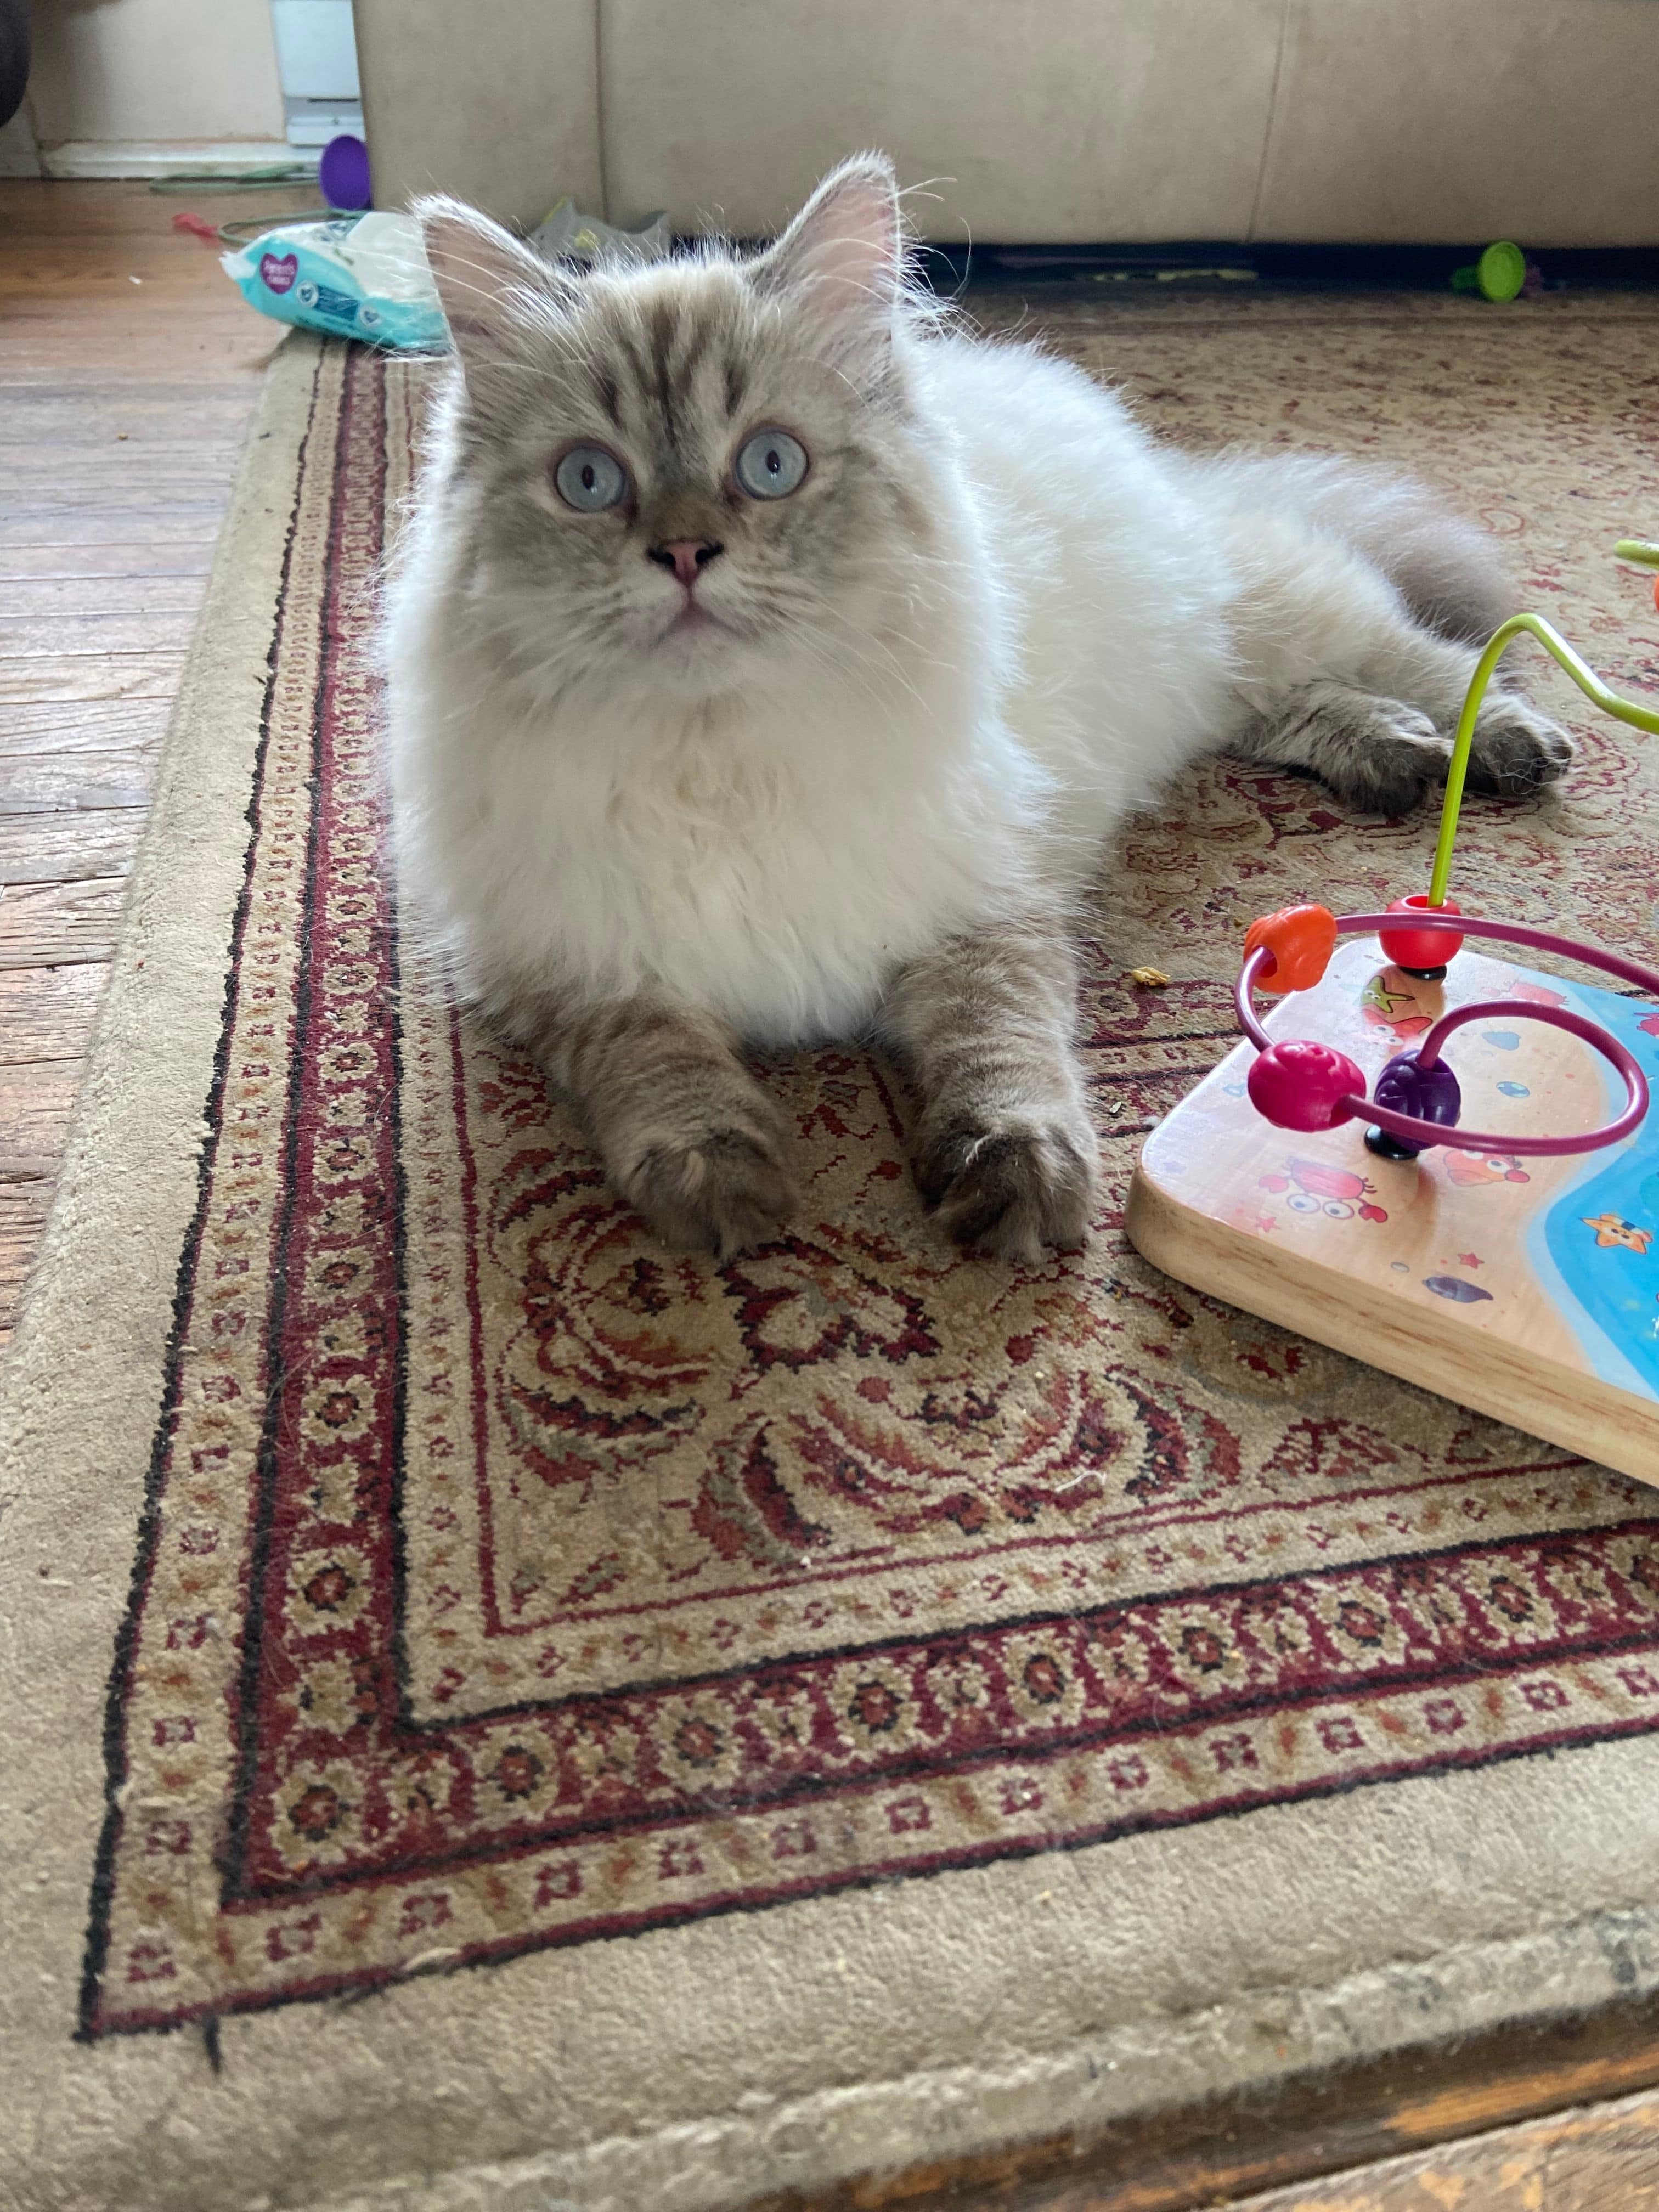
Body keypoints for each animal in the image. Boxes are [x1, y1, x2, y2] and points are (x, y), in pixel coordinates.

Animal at [382, 156, 1575, 1265]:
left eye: (769, 465)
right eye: (590, 483)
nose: (682, 554)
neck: (717, 756)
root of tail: (1165, 468)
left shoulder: (983, 910)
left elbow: (1001, 1055)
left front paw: (1020, 1192)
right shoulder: (576, 968)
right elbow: (664, 1071)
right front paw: (725, 1188)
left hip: (1265, 608)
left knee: (1426, 659)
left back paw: (1506, 746)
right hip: (1215, 673)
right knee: (1284, 709)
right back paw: (1395, 758)